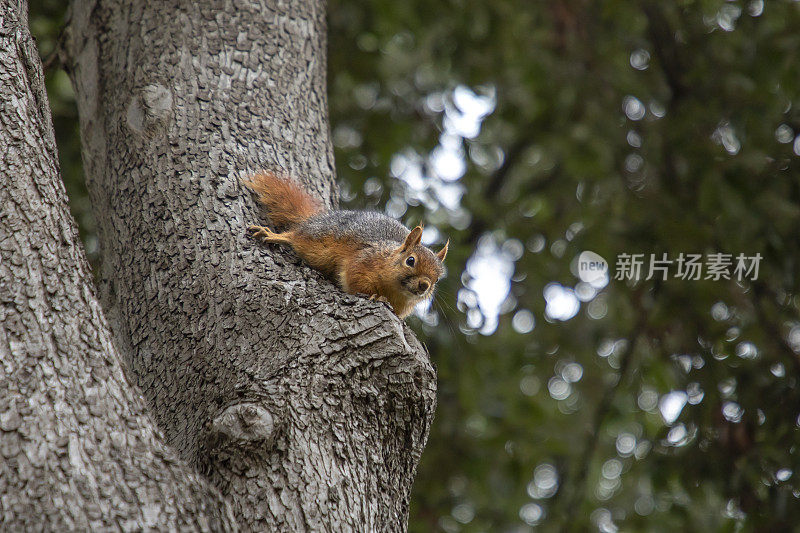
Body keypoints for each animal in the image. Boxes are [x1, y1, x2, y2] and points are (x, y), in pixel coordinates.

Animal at [242, 172, 450, 318]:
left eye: (437, 279)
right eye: (411, 260)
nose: (424, 285)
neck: (396, 289)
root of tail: (314, 220)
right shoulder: (363, 260)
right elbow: (356, 280)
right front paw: (375, 296)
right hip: (318, 243)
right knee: (296, 237)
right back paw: (276, 236)